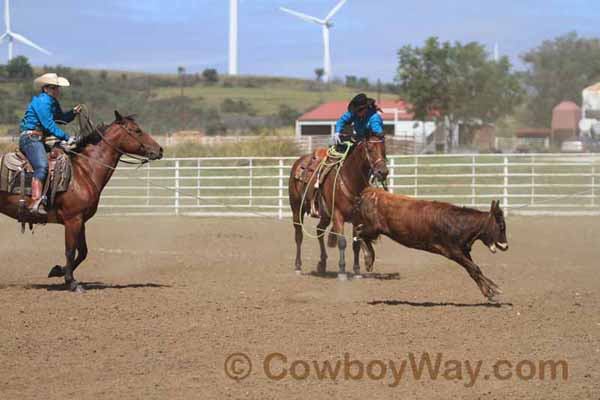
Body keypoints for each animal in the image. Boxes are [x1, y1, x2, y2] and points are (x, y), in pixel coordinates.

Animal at [0, 111, 164, 292]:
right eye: (137, 131)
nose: (160, 149)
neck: (84, 171)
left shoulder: (81, 220)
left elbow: (83, 252)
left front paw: (58, 270)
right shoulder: (73, 220)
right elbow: (70, 251)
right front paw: (71, 282)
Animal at [290, 133, 390, 280]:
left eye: (384, 149)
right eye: (370, 149)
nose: (383, 172)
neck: (350, 179)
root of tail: (299, 162)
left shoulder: (356, 218)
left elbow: (356, 243)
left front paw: (357, 271)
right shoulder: (338, 215)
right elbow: (342, 242)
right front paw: (342, 271)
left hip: (325, 215)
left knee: (319, 230)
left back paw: (322, 264)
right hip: (297, 207)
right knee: (298, 235)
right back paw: (298, 266)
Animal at [354, 188, 508, 300]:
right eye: (501, 226)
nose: (506, 246)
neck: (458, 223)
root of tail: (369, 192)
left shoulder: (464, 251)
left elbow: (472, 270)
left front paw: (488, 291)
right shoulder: (453, 252)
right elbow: (475, 268)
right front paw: (495, 288)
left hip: (373, 229)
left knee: (360, 235)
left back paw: (369, 260)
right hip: (373, 228)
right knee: (358, 233)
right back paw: (368, 258)